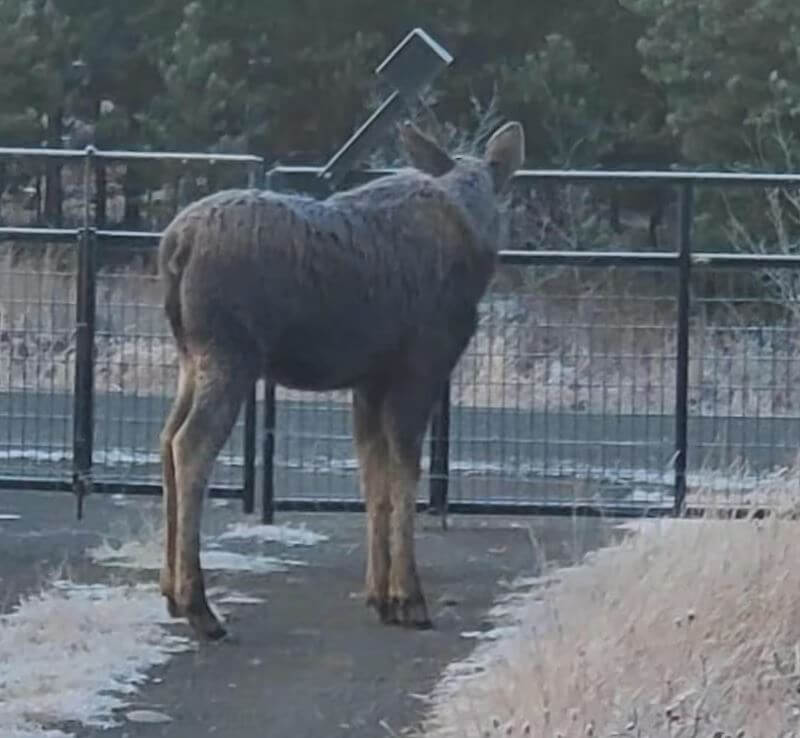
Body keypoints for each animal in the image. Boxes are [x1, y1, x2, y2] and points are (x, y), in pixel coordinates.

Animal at [157, 118, 525, 640]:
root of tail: (175, 246)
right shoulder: (419, 369)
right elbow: (405, 473)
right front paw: (409, 597)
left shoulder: (368, 381)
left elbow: (373, 475)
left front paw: (379, 594)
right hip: (230, 354)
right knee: (190, 445)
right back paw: (200, 607)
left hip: (191, 357)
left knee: (166, 437)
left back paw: (170, 592)